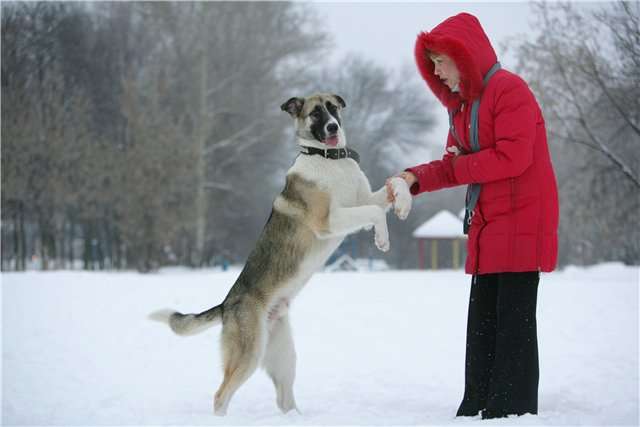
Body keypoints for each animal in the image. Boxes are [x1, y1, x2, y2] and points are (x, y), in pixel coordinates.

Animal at [151, 93, 410, 414]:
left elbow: (386, 193)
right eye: (315, 113)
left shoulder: (361, 200)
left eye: (333, 107)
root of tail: (226, 305)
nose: (333, 126)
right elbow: (373, 211)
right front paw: (382, 238)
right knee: (220, 395)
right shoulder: (329, 220)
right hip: (248, 355)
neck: (329, 159)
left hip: (284, 355)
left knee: (284, 398)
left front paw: (403, 201)